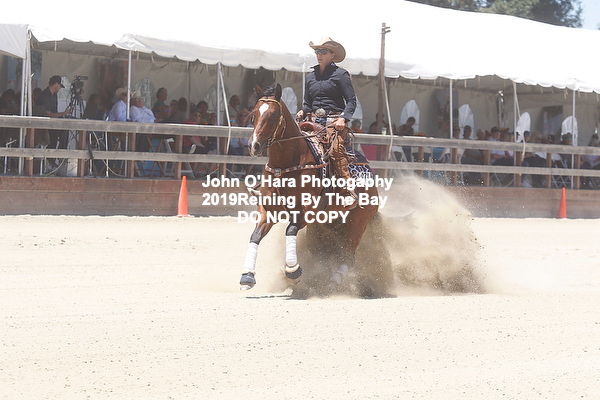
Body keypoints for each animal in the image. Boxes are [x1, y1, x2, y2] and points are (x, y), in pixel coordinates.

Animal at [239, 83, 379, 292]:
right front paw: (247, 276)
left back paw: (334, 281)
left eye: (273, 115)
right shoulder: (268, 209)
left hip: (359, 220)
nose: (253, 146)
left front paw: (292, 271)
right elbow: (255, 236)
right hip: (326, 223)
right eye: (254, 114)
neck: (288, 163)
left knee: (348, 253)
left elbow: (290, 230)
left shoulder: (308, 211)